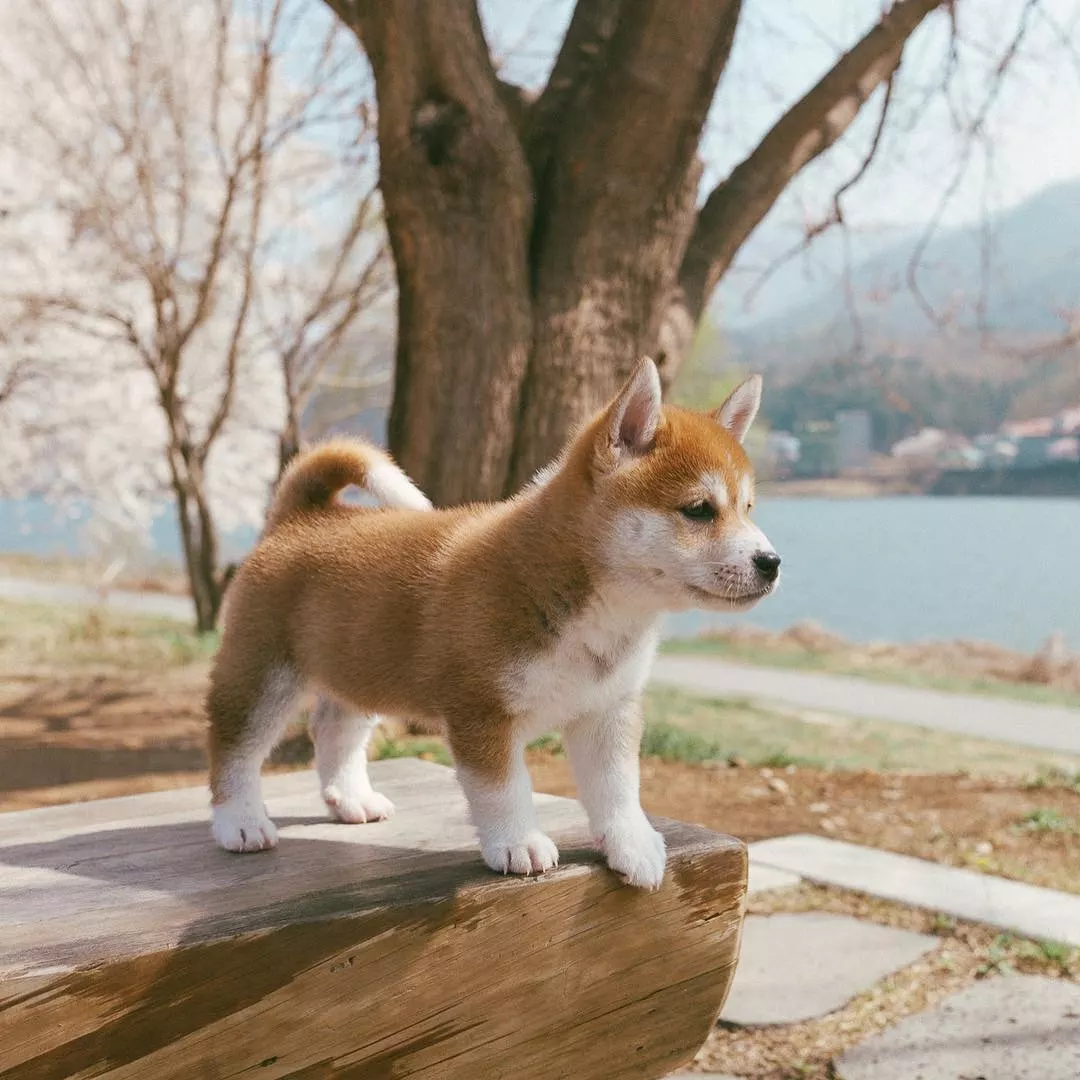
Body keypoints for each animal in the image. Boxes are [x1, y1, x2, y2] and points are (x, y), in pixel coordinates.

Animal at [206, 358, 777, 889]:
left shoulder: (607, 711)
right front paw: (519, 842)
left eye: (748, 508)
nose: (772, 562)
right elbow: (504, 790)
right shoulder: (482, 711)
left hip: (359, 665)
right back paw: (240, 822)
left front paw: (632, 843)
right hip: (263, 675)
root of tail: (299, 517)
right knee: (235, 749)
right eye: (699, 510)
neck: (591, 604)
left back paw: (351, 799)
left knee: (333, 730)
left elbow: (618, 788)